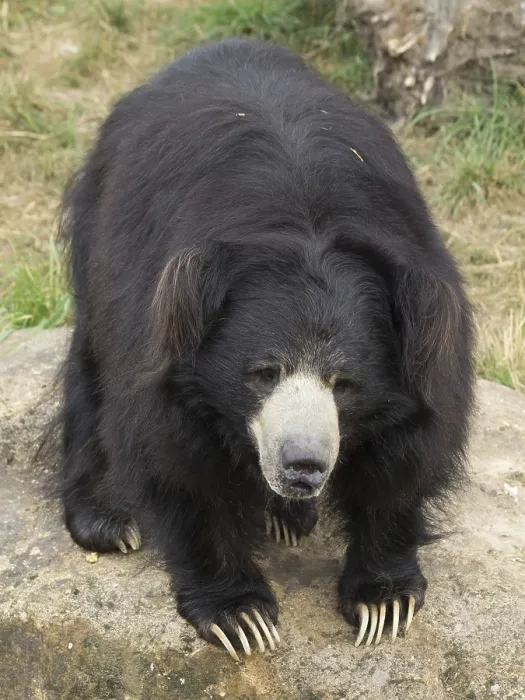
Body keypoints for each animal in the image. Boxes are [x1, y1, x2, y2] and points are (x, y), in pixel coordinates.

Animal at [58, 38, 474, 659]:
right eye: (263, 373)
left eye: (345, 384)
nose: (303, 467)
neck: (306, 220)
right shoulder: (160, 319)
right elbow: (179, 459)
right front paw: (241, 616)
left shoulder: (427, 327)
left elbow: (407, 454)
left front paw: (383, 602)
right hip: (98, 231)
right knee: (91, 366)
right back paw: (106, 520)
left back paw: (289, 519)